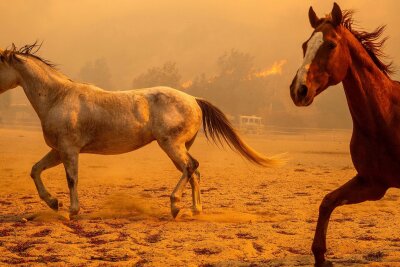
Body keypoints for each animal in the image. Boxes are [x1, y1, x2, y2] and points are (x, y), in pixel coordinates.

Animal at [0, 44, 282, 219]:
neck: (58, 97)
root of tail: (193, 99)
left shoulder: (69, 150)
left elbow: (72, 179)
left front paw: (72, 210)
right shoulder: (58, 151)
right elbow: (35, 170)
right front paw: (53, 203)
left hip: (170, 144)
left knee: (191, 167)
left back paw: (175, 205)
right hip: (178, 147)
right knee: (194, 172)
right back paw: (195, 210)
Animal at [290, 2, 400, 267]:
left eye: (331, 45)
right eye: (304, 45)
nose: (298, 90)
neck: (387, 117)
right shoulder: (372, 183)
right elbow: (328, 202)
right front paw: (321, 257)